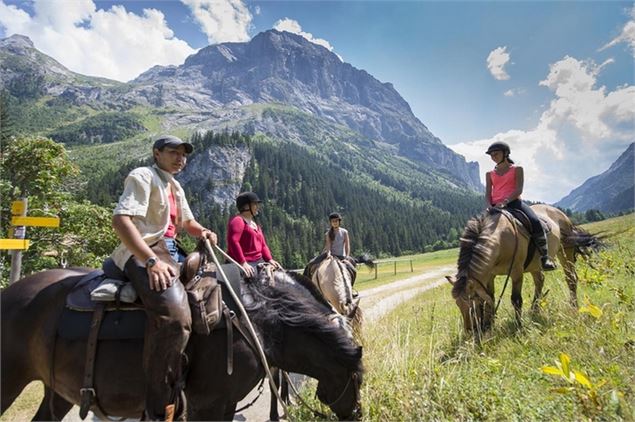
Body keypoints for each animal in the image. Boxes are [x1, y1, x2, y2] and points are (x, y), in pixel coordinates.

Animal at [1, 268, 362, 420]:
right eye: (358, 380)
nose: (357, 415)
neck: (255, 322)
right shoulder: (209, 403)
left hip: (59, 391)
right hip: (10, 381)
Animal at [448, 204, 600, 336]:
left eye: (473, 303)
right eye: (458, 304)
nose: (470, 331)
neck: (500, 239)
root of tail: (561, 214)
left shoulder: (516, 272)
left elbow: (516, 300)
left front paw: (519, 326)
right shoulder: (489, 276)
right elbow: (490, 298)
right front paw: (490, 325)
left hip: (565, 252)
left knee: (571, 279)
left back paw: (573, 306)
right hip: (536, 264)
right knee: (540, 281)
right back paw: (534, 310)